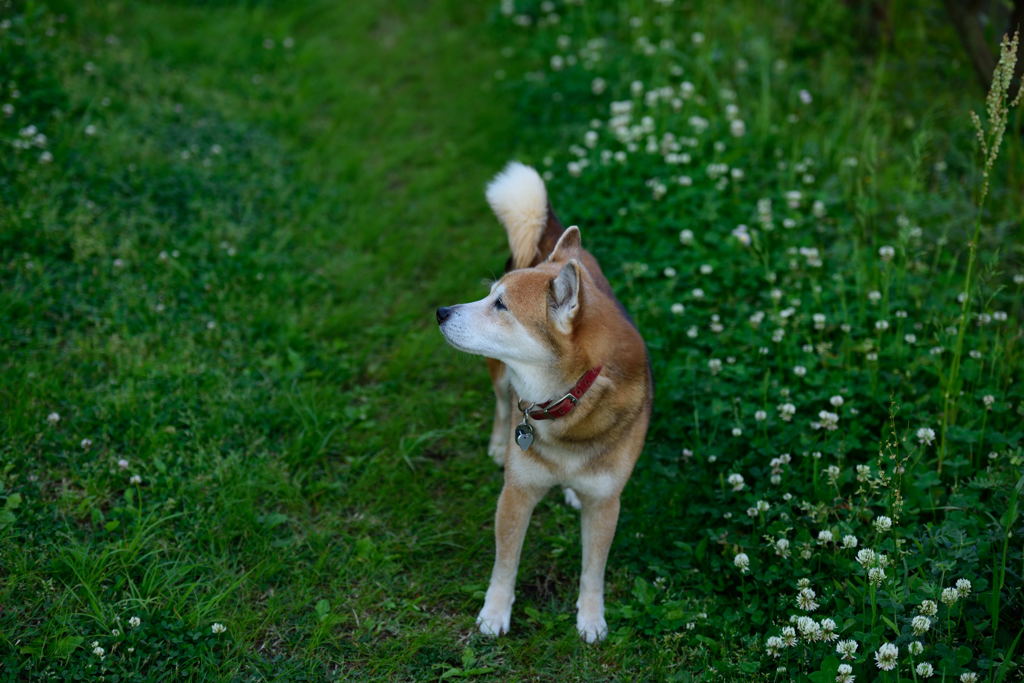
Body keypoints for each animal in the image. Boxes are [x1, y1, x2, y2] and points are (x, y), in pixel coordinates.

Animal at [436, 162, 651, 643]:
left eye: (501, 305)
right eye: (488, 295)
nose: (440, 312)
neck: (570, 402)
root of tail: (551, 235)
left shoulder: (606, 503)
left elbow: (593, 570)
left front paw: (591, 618)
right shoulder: (517, 493)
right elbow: (505, 564)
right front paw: (495, 613)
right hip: (498, 374)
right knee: (501, 405)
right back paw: (499, 444)